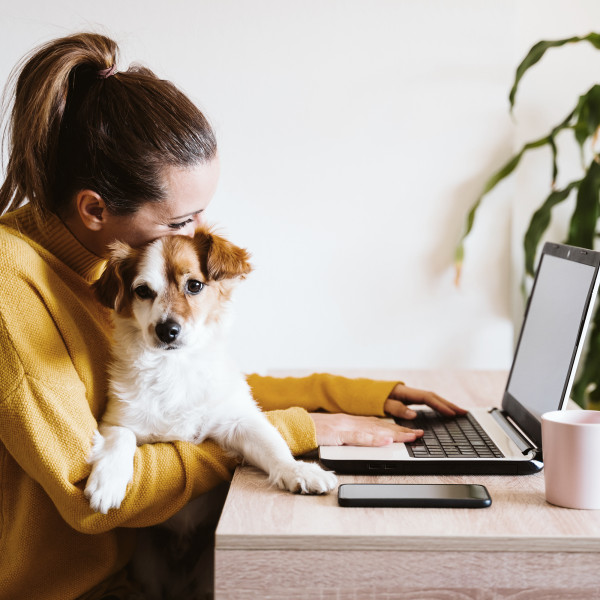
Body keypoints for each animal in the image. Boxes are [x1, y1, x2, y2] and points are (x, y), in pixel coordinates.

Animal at [84, 225, 338, 516]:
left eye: (194, 285)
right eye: (143, 291)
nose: (167, 330)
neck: (175, 367)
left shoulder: (238, 420)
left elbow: (273, 444)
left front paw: (298, 470)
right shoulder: (116, 420)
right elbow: (120, 439)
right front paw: (108, 481)